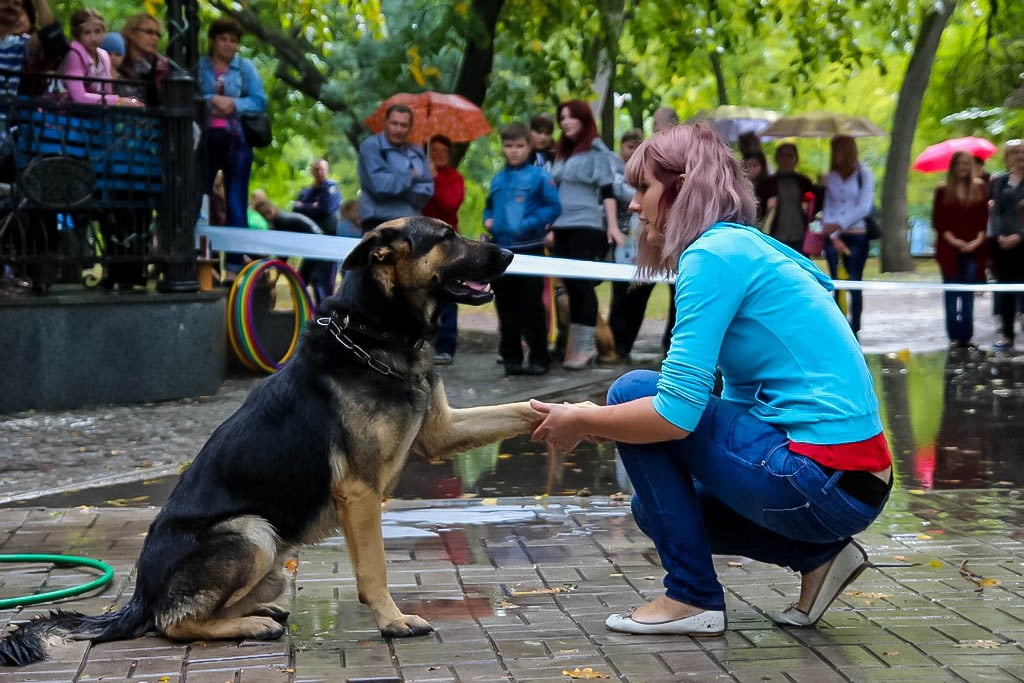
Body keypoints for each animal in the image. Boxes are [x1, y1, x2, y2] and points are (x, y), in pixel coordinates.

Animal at [0, 219, 544, 667]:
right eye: (446, 236)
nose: (512, 254)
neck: (373, 335)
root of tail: (139, 598)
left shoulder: (441, 432)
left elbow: (520, 411)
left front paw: (553, 416)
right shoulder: (360, 494)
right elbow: (375, 569)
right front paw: (392, 621)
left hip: (275, 557)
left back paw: (261, 611)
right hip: (252, 531)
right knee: (172, 623)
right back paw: (252, 624)